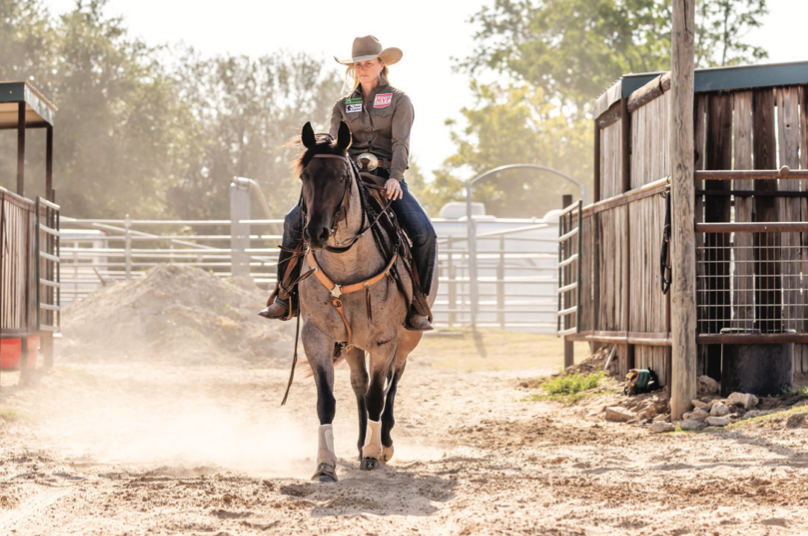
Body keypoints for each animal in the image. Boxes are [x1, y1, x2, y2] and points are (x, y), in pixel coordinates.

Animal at [292, 120, 436, 482]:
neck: (347, 267)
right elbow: (327, 401)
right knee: (360, 384)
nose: (315, 233)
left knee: (392, 384)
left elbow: (376, 398)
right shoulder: (316, 336)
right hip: (354, 344)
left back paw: (384, 444)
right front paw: (325, 465)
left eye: (342, 177)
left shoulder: (385, 340)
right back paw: (359, 444)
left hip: (407, 338)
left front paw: (372, 454)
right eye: (305, 176)